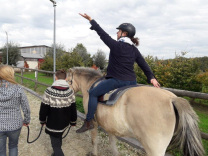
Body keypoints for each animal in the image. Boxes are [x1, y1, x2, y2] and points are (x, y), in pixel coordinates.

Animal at [66, 66, 205, 156]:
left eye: (67, 81)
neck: (91, 85)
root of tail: (172, 98)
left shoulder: (94, 123)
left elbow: (94, 140)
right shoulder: (110, 125)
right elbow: (112, 143)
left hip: (154, 148)